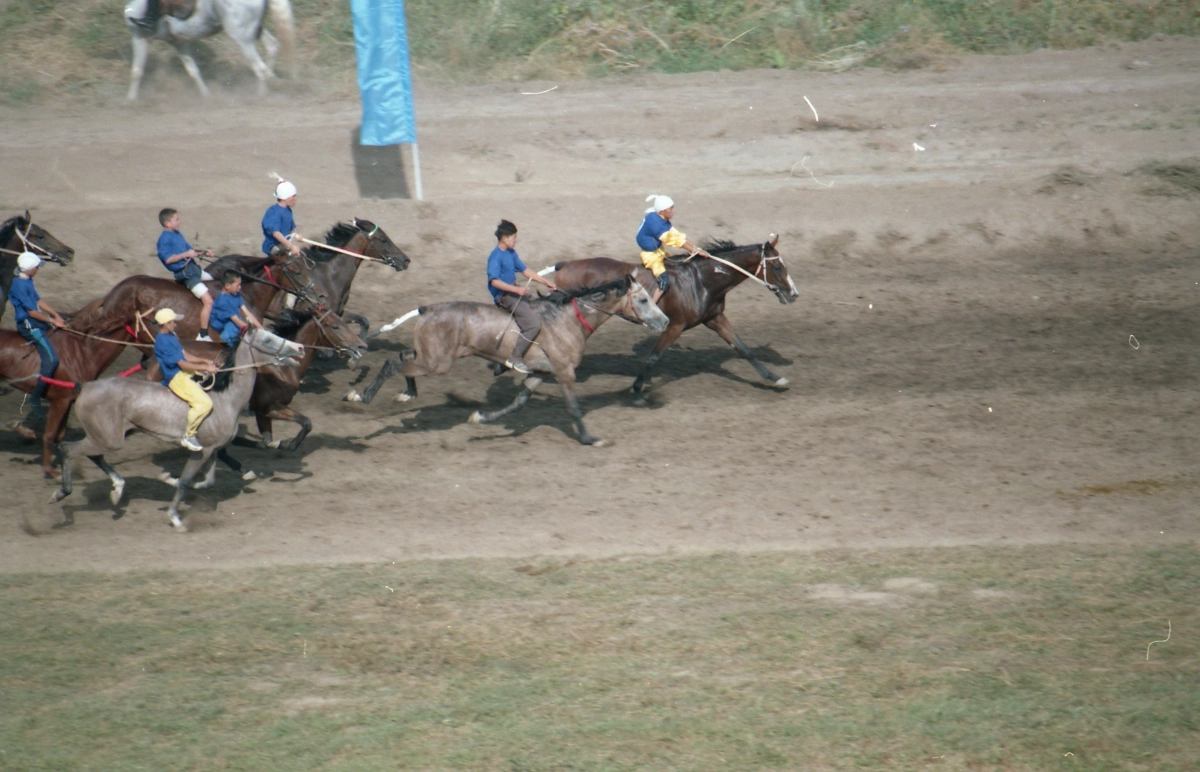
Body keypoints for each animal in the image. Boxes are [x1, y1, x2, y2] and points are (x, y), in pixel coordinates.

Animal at [0, 302, 143, 477]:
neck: (84, 353)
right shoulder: (60, 400)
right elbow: (50, 434)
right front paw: (50, 470)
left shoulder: (68, 400)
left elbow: (59, 435)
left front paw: (21, 429)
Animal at [51, 326, 304, 530]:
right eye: (268, 339)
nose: (300, 348)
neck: (225, 399)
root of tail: (84, 386)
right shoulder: (202, 451)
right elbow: (185, 482)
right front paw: (175, 517)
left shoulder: (213, 451)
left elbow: (206, 482)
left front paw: (168, 479)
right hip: (108, 439)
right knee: (65, 448)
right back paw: (62, 493)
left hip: (107, 437)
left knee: (94, 456)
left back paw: (118, 489)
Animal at [123, 0, 296, 100]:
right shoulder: (178, 42)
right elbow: (193, 71)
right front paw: (206, 96)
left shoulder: (139, 37)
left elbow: (136, 71)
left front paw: (130, 101)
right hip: (255, 31)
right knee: (272, 47)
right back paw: (271, 86)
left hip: (242, 39)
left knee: (259, 67)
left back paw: (263, 94)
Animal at [348, 276, 672, 446]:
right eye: (643, 300)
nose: (666, 321)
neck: (567, 320)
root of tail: (427, 308)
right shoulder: (565, 373)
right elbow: (574, 408)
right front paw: (589, 438)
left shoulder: (540, 373)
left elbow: (518, 403)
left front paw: (481, 418)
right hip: (436, 363)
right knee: (391, 364)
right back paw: (362, 395)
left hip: (430, 356)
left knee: (402, 356)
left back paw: (407, 392)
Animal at [544, 235, 796, 401]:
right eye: (776, 267)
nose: (793, 294)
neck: (701, 281)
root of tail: (566, 264)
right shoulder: (675, 326)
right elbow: (654, 356)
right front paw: (637, 390)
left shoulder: (716, 319)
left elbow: (744, 349)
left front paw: (775, 378)